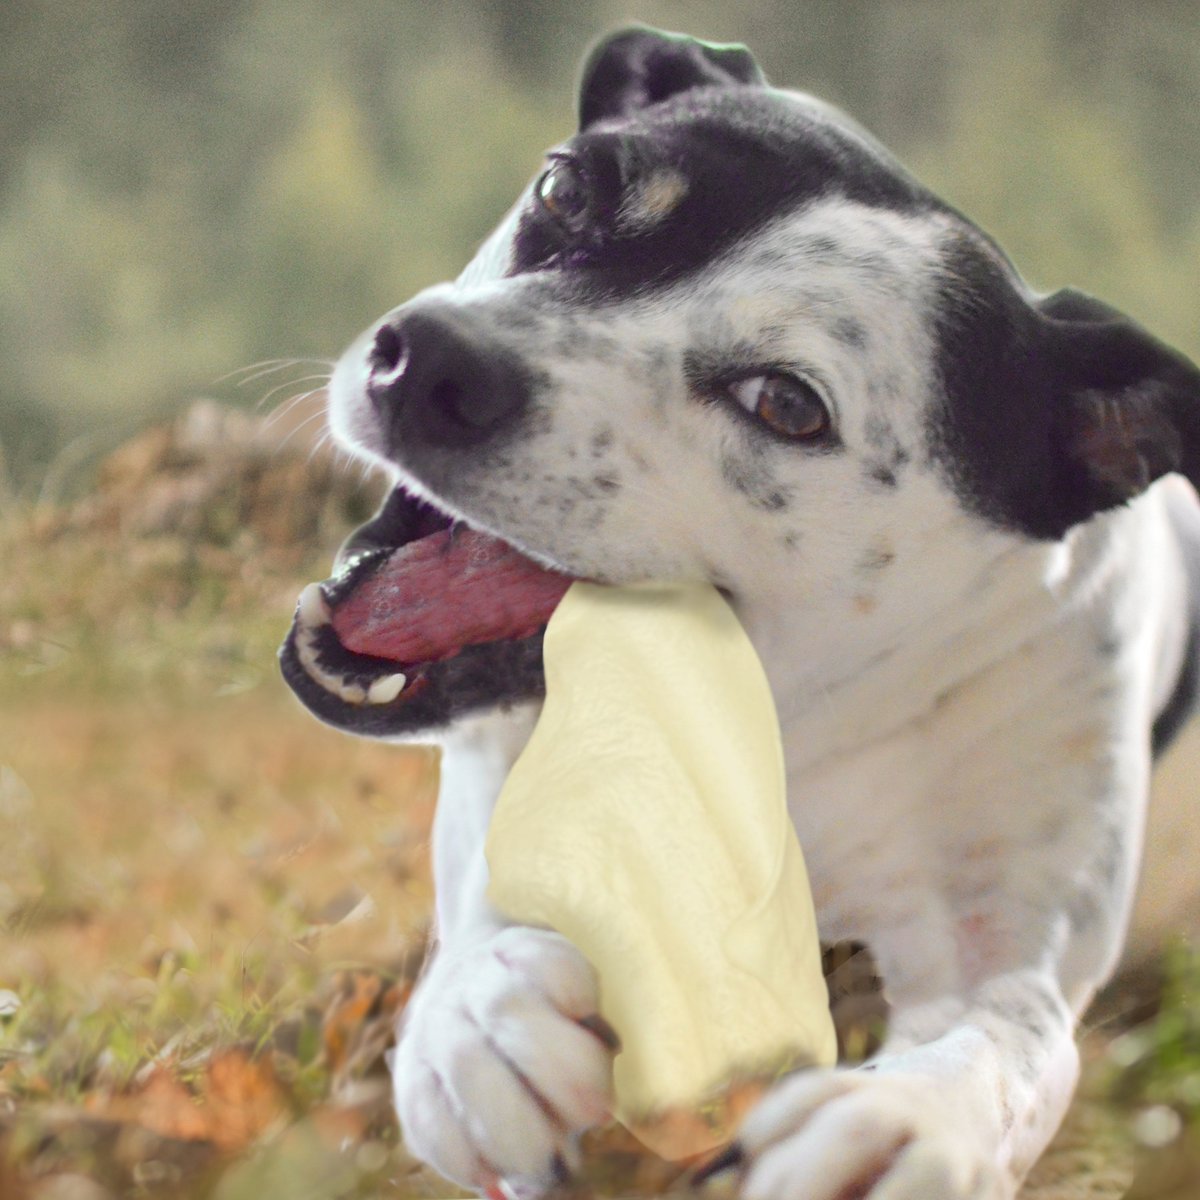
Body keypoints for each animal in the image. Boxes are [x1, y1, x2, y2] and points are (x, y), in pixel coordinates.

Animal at [280, 25, 1200, 1200]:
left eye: (787, 404)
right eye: (564, 188)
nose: (432, 358)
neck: (787, 713)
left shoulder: (1008, 948)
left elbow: (998, 1044)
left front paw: (898, 1121)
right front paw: (485, 1020)